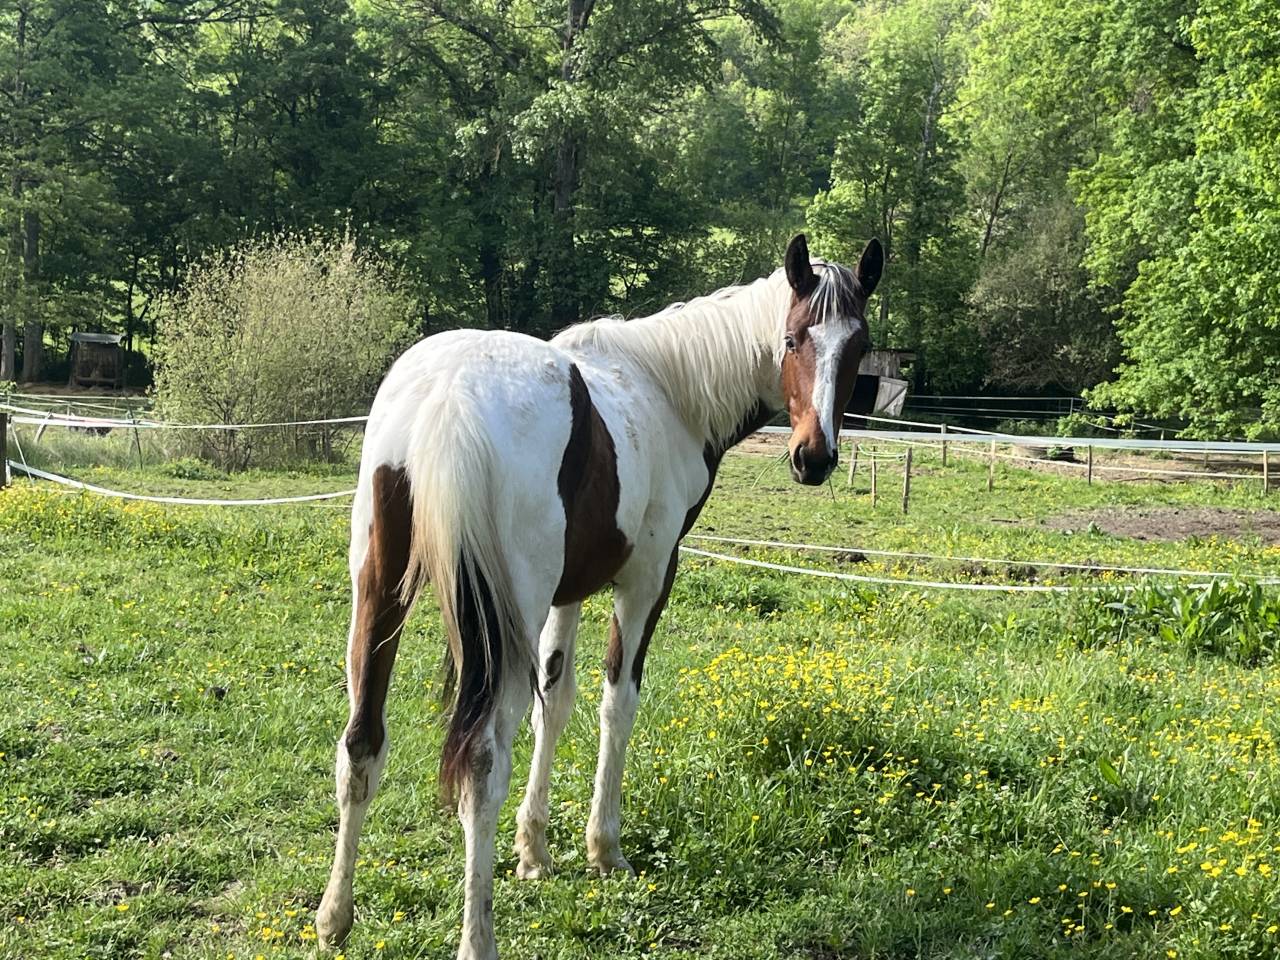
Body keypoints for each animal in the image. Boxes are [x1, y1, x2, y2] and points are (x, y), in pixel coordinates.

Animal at [315, 233, 883, 959]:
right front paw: (602, 849)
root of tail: (449, 397)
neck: (668, 391)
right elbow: (618, 704)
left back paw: (334, 916)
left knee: (361, 744)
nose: (815, 457)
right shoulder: (645, 581)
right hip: (499, 620)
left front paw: (533, 852)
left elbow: (553, 705)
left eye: (858, 345)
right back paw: (477, 938)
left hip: (380, 595)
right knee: (481, 764)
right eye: (792, 339)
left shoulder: (569, 594)